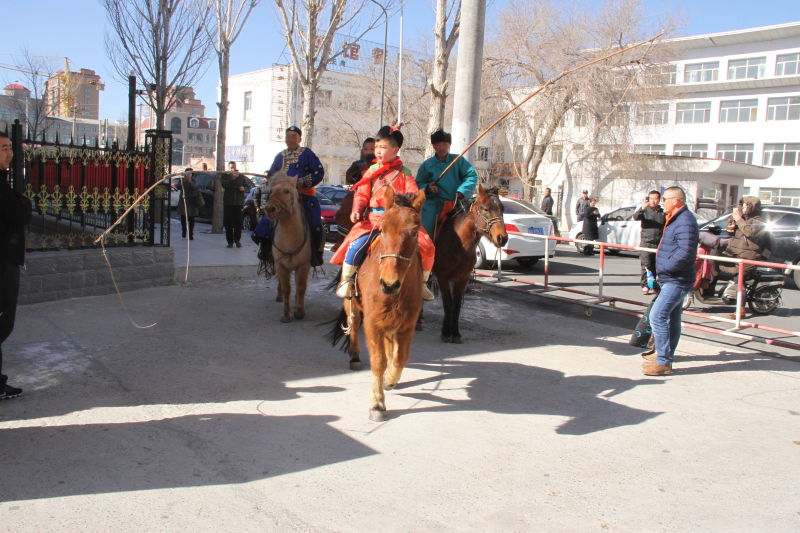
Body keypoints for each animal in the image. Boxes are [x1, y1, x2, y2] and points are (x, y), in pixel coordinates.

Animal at [264, 175, 310, 322]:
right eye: (271, 191)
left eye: (287, 191)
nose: (270, 209)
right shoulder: (281, 265)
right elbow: (286, 289)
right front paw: (285, 315)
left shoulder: (303, 265)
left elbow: (301, 287)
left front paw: (299, 312)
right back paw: (279, 296)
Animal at [328, 187, 428, 420]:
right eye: (382, 229)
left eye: (414, 232)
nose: (389, 283)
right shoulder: (373, 322)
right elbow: (378, 360)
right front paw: (377, 403)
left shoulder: (407, 323)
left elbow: (400, 357)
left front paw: (390, 378)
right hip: (353, 306)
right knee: (353, 324)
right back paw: (355, 357)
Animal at [432, 185, 506, 342]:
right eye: (485, 208)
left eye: (502, 208)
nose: (502, 238)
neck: (459, 244)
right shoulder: (443, 277)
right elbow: (448, 303)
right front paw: (446, 332)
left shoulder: (463, 278)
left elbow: (457, 305)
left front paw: (455, 332)